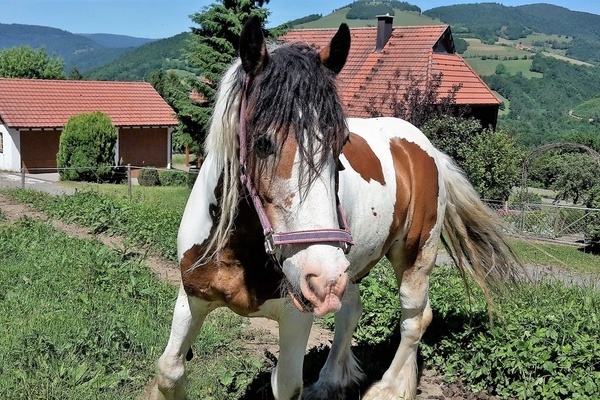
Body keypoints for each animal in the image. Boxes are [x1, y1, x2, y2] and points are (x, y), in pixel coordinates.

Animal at [146, 16, 520, 400]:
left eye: (341, 143)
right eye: (262, 142)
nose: (319, 276)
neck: (240, 249)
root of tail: (426, 149)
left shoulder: (296, 317)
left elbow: (287, 385)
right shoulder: (191, 297)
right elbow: (169, 370)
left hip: (412, 258)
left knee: (415, 319)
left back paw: (387, 388)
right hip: (350, 269)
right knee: (351, 311)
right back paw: (330, 382)